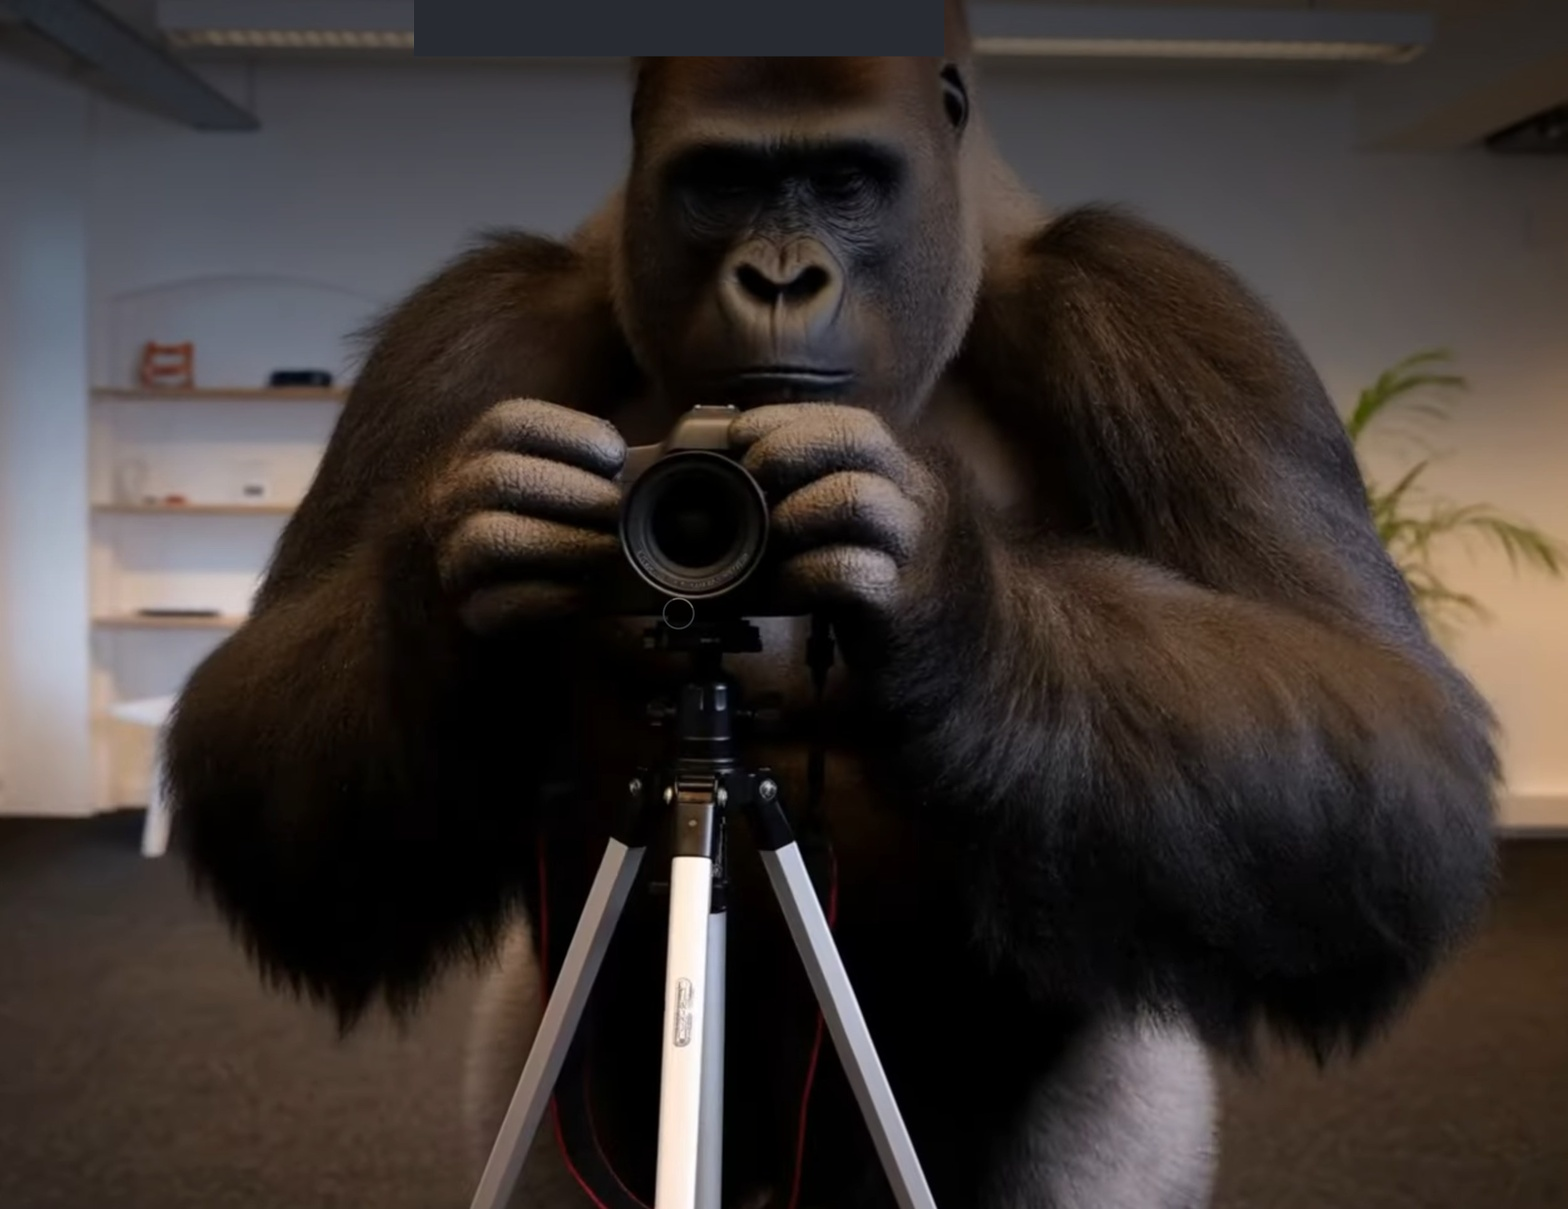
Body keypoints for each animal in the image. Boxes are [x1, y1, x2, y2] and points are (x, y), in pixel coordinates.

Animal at [163, 8, 1500, 1208]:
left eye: (844, 180)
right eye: (721, 183)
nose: (777, 276)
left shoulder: (1154, 309)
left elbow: (1390, 733)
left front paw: (944, 589)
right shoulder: (469, 324)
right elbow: (261, 779)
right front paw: (466, 554)